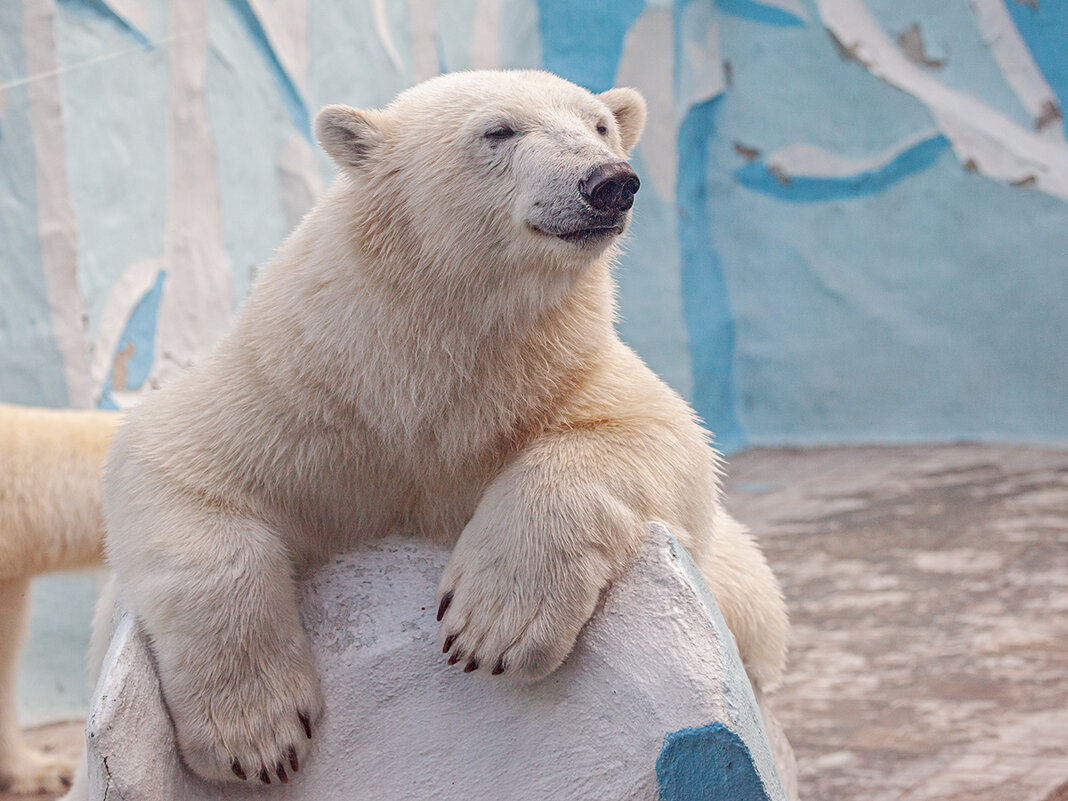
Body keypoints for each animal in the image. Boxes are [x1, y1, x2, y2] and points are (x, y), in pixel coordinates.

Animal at [101, 70, 786, 790]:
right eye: (499, 130)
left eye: (600, 124)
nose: (609, 181)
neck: (423, 361)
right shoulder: (300, 386)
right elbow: (173, 462)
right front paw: (256, 737)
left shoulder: (558, 374)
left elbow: (659, 435)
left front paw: (492, 624)